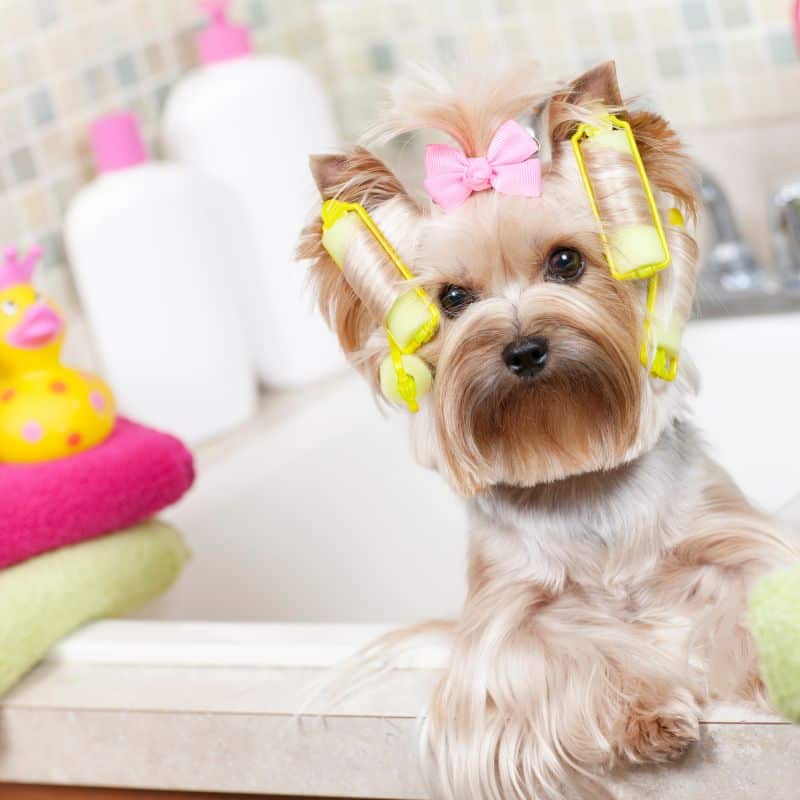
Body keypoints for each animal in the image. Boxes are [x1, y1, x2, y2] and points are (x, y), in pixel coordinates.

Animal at [298, 62, 792, 800]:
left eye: (565, 262)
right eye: (451, 299)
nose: (524, 349)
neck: (572, 464)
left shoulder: (730, 536)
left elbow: (752, 589)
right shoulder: (505, 619)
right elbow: (561, 654)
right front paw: (649, 716)